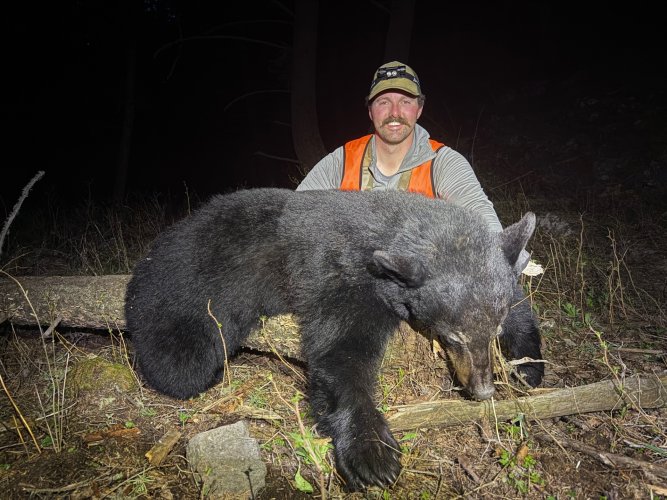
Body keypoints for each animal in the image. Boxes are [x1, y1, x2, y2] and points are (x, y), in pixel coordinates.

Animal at [125, 188, 543, 491]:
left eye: (493, 329)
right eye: (451, 335)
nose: (483, 390)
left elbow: (518, 302)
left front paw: (530, 367)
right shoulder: (343, 277)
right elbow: (341, 352)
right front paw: (370, 450)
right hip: (185, 288)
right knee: (180, 361)